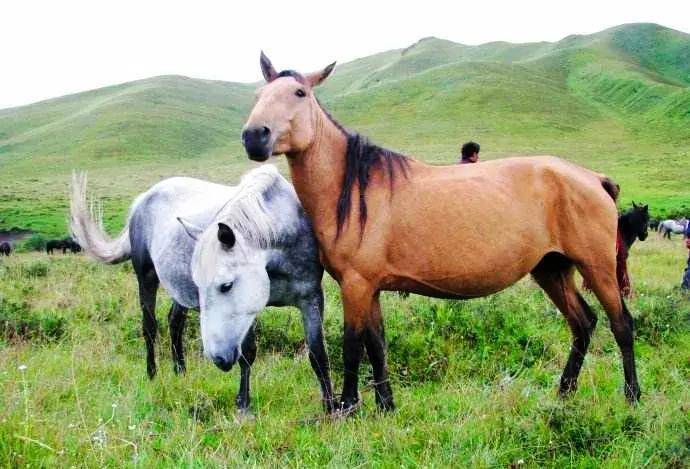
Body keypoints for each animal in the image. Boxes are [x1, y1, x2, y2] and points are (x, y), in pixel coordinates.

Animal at [70, 166, 335, 413]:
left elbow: (318, 354)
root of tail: (143, 198)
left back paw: (180, 372)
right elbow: (248, 353)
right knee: (150, 327)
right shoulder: (248, 310)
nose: (218, 358)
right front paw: (243, 406)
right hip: (146, 277)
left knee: (174, 322)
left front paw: (331, 407)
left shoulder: (310, 298)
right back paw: (152, 375)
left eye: (226, 285)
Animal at [241, 53, 641, 412]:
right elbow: (377, 344)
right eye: (258, 95)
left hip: (598, 267)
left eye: (299, 93)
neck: (353, 190)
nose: (254, 136)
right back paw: (564, 393)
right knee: (583, 324)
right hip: (551, 269)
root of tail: (593, 178)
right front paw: (386, 406)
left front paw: (348, 406)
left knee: (621, 324)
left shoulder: (356, 285)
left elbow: (353, 346)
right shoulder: (371, 288)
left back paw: (632, 396)